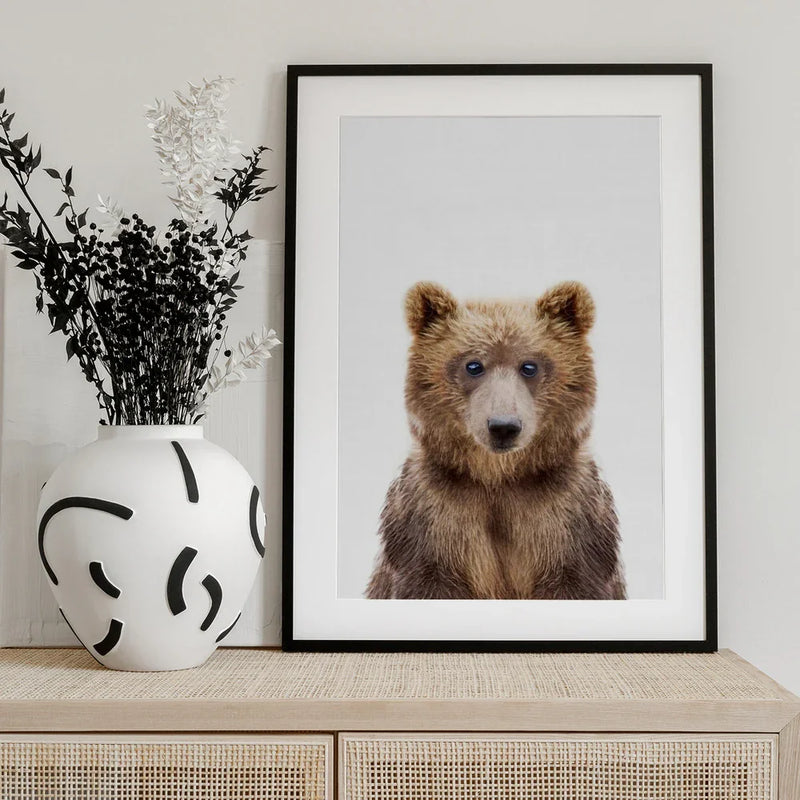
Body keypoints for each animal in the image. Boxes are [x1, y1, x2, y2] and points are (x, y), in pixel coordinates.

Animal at [365, 280, 625, 601]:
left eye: (529, 366)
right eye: (473, 365)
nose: (503, 426)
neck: (498, 477)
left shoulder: (568, 519)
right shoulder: (432, 519)